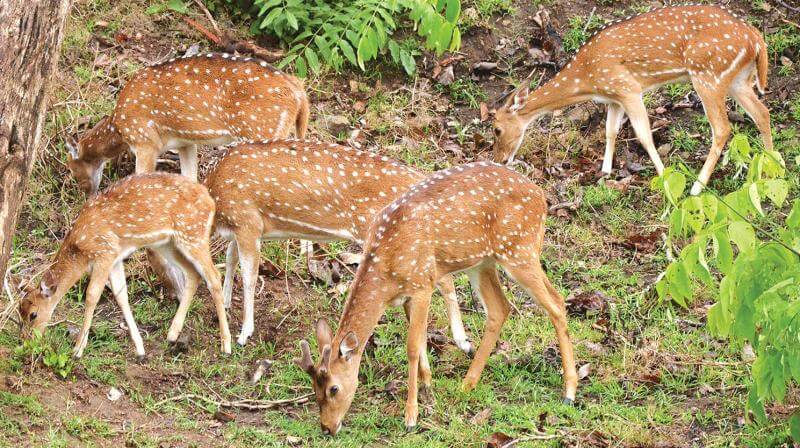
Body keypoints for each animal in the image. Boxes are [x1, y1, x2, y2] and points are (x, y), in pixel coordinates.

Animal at [18, 173, 232, 359]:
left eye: (33, 314)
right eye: (20, 312)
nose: (27, 341)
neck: (80, 250)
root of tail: (210, 201)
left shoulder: (104, 252)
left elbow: (92, 295)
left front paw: (78, 350)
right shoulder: (115, 258)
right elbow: (121, 296)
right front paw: (140, 349)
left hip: (193, 234)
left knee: (214, 275)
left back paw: (226, 344)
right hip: (167, 243)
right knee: (193, 274)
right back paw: (172, 334)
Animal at [66, 52, 309, 196]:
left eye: (73, 170)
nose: (87, 193)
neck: (119, 127)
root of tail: (299, 92)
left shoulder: (145, 141)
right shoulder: (185, 143)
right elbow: (190, 178)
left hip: (262, 130)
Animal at [204, 139, 473, 350]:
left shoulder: (247, 222)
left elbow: (249, 276)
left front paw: (244, 333)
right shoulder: (241, 230)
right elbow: (230, 259)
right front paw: (226, 303)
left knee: (442, 277)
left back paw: (462, 341)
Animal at [294, 161, 577, 434]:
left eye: (334, 388)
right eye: (314, 389)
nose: (327, 428)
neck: (386, 271)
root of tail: (541, 197)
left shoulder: (422, 283)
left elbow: (411, 346)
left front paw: (411, 416)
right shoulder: (410, 295)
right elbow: (421, 340)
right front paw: (428, 388)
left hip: (519, 250)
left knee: (556, 304)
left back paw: (569, 392)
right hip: (484, 261)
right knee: (501, 308)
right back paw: (467, 383)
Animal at [492, 5, 771, 196]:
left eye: (496, 129)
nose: (499, 160)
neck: (586, 77)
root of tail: (756, 38)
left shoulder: (628, 88)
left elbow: (644, 136)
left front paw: (665, 179)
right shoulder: (614, 98)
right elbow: (610, 131)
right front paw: (605, 171)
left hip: (708, 75)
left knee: (723, 128)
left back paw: (696, 187)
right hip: (738, 79)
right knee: (762, 113)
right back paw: (771, 168)